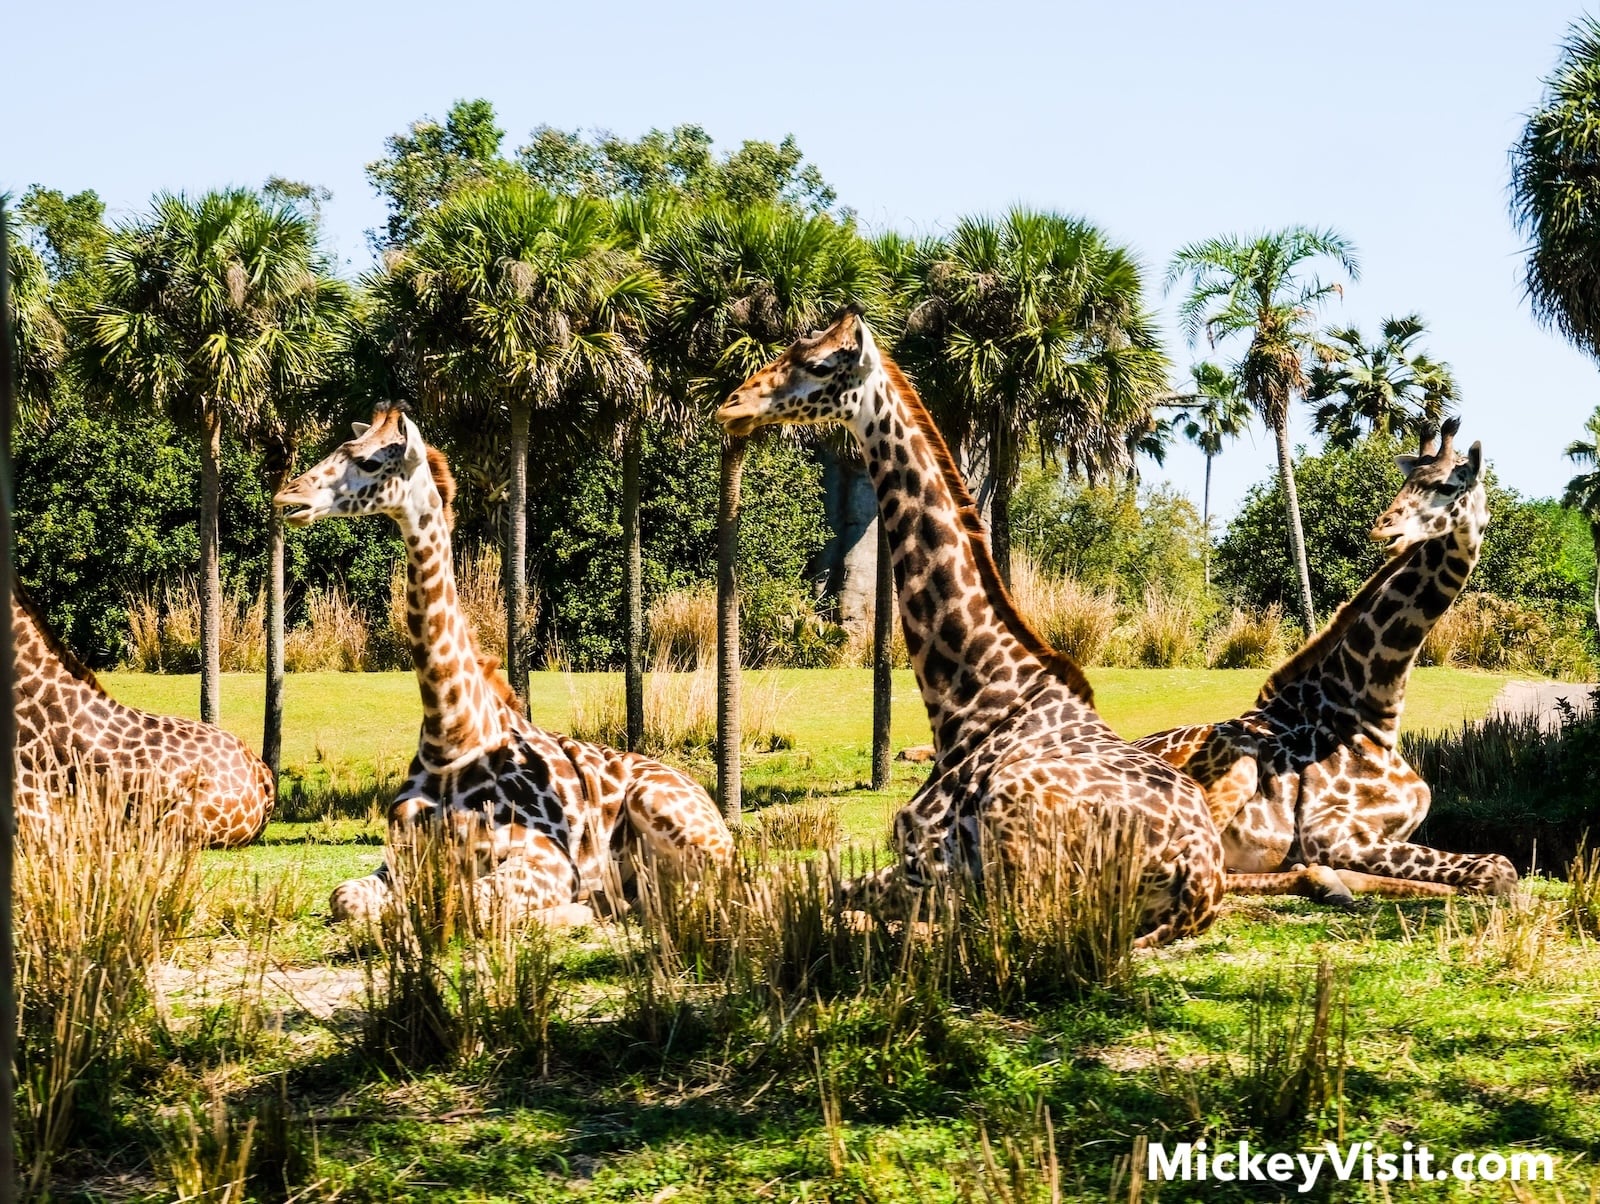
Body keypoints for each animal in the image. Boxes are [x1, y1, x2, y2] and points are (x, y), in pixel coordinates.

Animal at [273, 405, 734, 926]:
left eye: (370, 462)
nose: (288, 496)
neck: (451, 737)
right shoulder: (397, 862)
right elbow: (346, 897)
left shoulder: (550, 859)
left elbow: (471, 904)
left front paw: (568, 910)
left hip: (665, 813)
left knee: (687, 899)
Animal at [716, 313, 1225, 947]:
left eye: (816, 363)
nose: (731, 406)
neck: (970, 699)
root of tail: (1199, 880)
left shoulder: (931, 861)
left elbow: (804, 892)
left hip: (1025, 858)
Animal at [1133, 418, 1517, 901]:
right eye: (1406, 481)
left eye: (1447, 486)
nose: (1384, 528)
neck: (1371, 712)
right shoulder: (1328, 830)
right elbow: (1498, 867)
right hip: (1233, 766)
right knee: (1197, 876)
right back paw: (1321, 880)